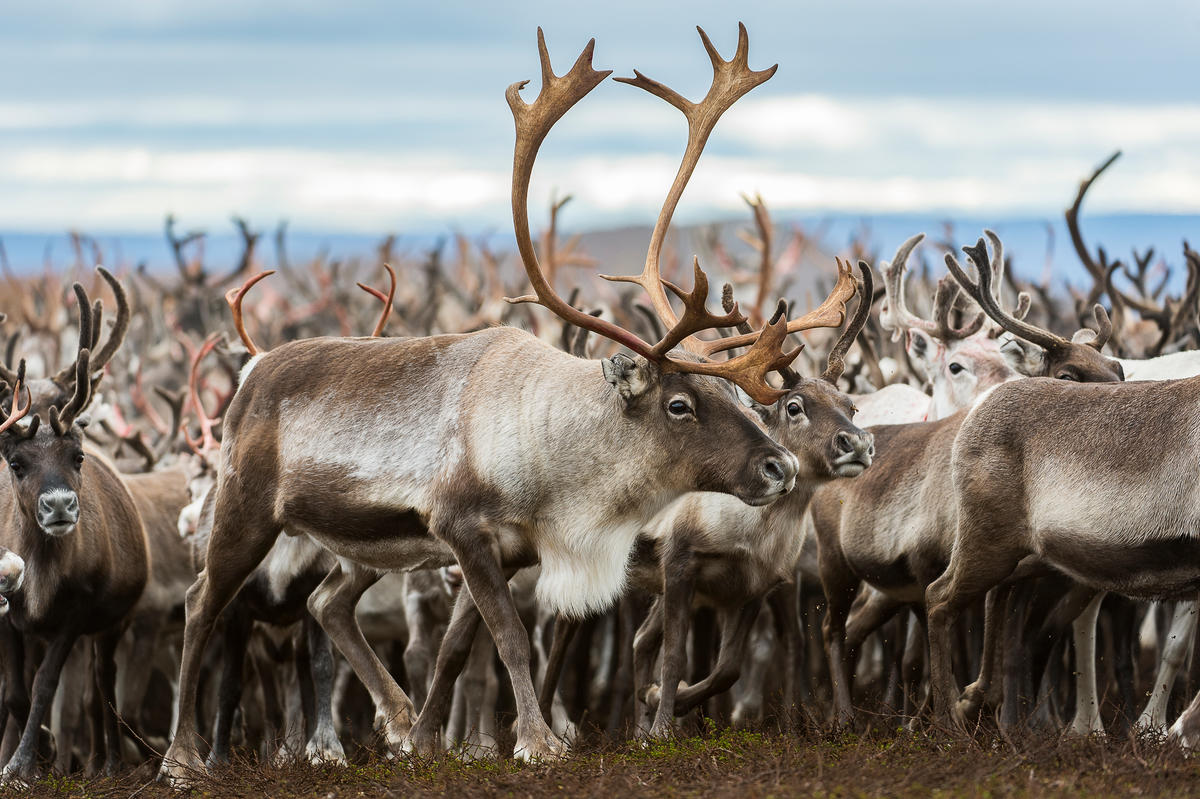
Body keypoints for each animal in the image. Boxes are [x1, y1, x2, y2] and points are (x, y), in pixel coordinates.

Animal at [155, 24, 856, 780]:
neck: (558, 458)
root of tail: (251, 369)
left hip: (360, 544)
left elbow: (459, 646)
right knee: (200, 603)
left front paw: (425, 738)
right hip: (246, 505)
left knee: (325, 602)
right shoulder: (463, 527)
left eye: (730, 390)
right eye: (678, 404)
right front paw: (535, 741)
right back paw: (182, 758)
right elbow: (511, 638)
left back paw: (392, 715)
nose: (778, 467)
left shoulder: (508, 548)